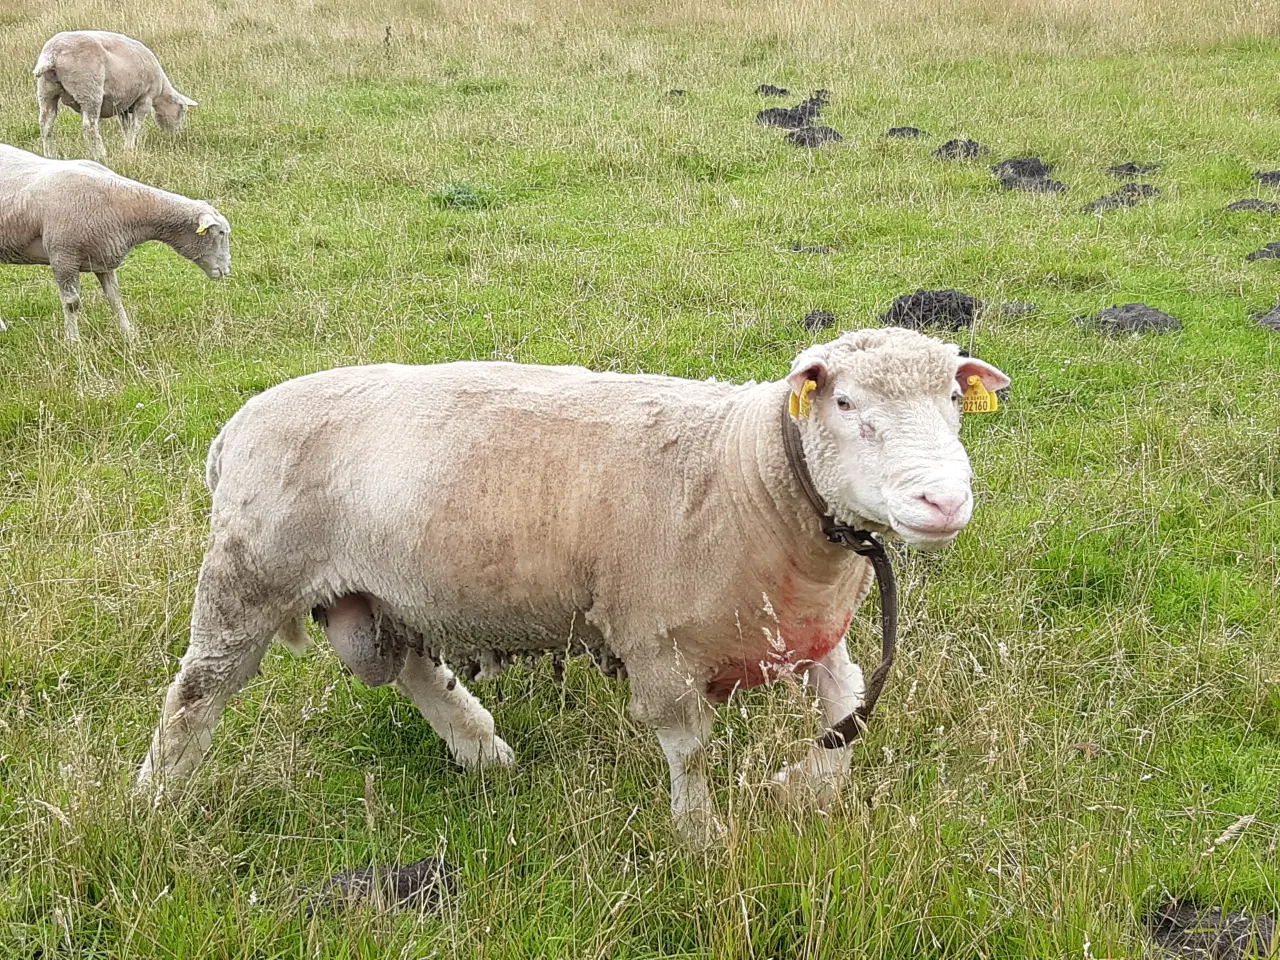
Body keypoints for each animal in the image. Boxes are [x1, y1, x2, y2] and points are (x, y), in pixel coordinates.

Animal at [1, 142, 230, 337]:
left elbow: (115, 297)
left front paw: (128, 333)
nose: (226, 270)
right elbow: (72, 303)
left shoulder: (103, 256)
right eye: (220, 233)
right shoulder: (63, 256)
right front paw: (73, 342)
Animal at [32, 31, 198, 160]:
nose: (177, 136)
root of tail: (52, 53)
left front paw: (128, 145)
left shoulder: (123, 105)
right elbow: (136, 126)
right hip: (89, 90)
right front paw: (131, 147)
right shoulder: (145, 99)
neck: (161, 89)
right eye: (183, 111)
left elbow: (126, 126)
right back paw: (101, 154)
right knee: (89, 126)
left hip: (46, 91)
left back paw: (50, 155)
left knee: (46, 124)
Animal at [137, 332, 1008, 839]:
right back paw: (153, 802)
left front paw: (802, 790)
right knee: (197, 692)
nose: (945, 502)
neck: (749, 472)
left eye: (954, 399)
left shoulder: (807, 627)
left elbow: (848, 713)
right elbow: (691, 750)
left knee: (416, 667)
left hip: (388, 590)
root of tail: (235, 426)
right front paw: (701, 839)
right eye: (847, 402)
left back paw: (482, 748)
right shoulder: (657, 645)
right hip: (249, 577)